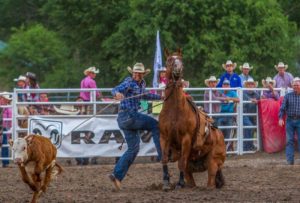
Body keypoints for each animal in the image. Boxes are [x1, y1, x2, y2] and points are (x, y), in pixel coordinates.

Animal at [159, 48, 225, 190]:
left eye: (181, 60)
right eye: (169, 60)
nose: (177, 69)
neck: (174, 110)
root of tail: (219, 134)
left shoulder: (186, 139)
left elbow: (182, 162)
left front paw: (179, 184)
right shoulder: (164, 137)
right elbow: (165, 159)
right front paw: (166, 183)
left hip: (214, 161)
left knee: (211, 177)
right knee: (189, 174)